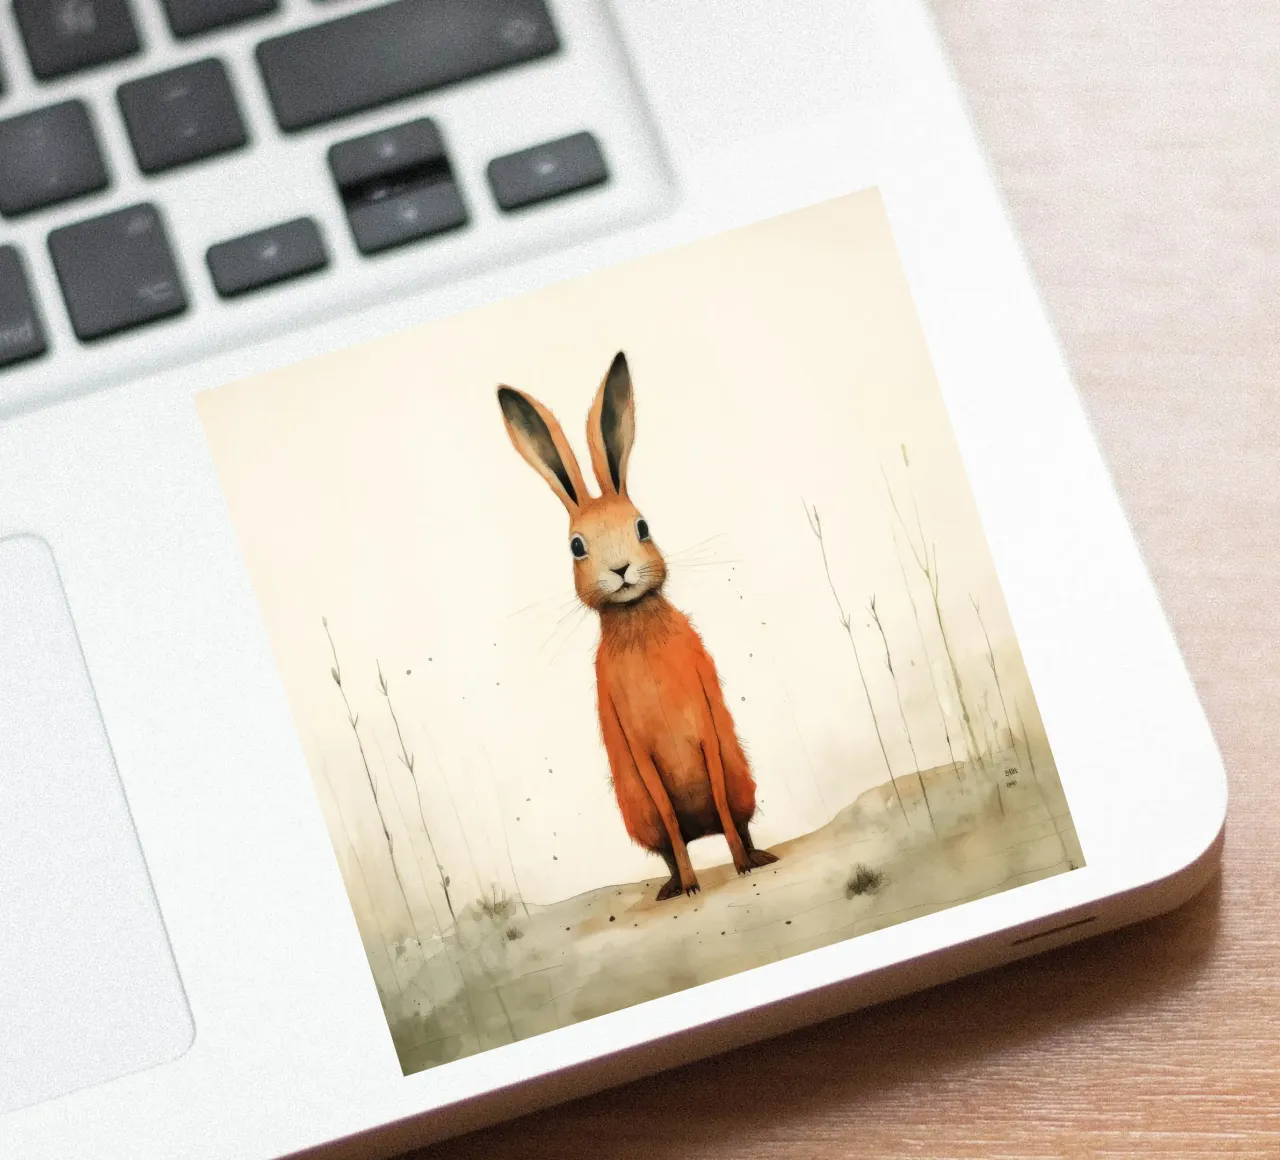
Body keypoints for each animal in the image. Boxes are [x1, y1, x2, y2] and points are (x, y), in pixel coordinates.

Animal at [498, 351, 779, 901]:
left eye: (643, 527)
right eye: (576, 546)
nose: (621, 569)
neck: (637, 626)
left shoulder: (707, 726)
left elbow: (717, 792)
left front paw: (740, 867)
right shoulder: (639, 754)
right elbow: (670, 816)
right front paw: (691, 887)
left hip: (742, 782)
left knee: (733, 820)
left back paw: (755, 856)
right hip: (636, 811)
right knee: (672, 844)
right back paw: (673, 885)